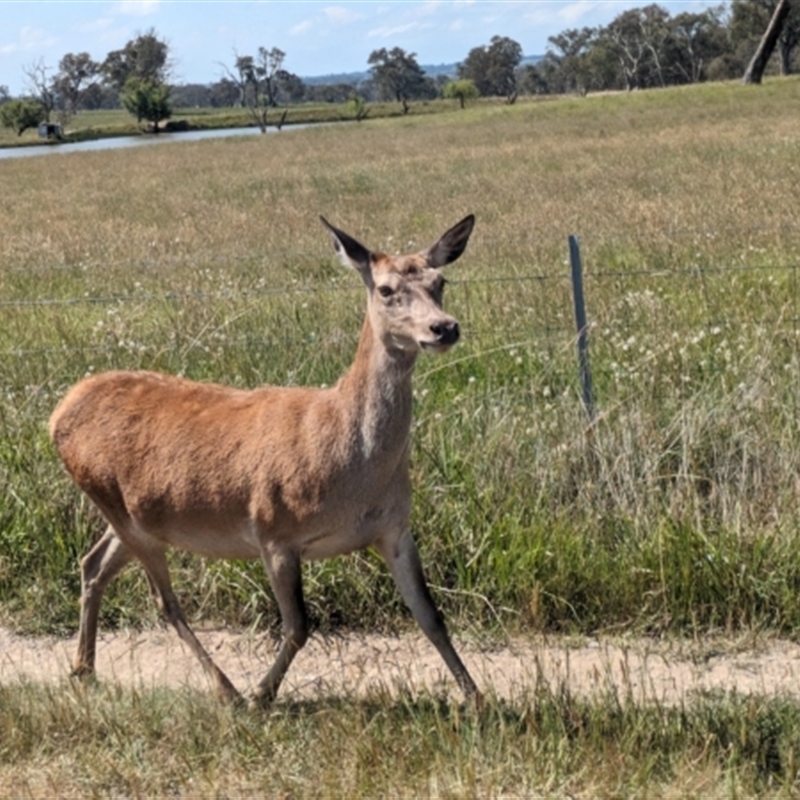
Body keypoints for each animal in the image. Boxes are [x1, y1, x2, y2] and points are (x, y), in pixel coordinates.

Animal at [50, 212, 482, 708]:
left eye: (439, 281)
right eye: (387, 289)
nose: (444, 328)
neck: (353, 474)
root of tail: (58, 413)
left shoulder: (395, 528)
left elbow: (432, 617)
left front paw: (477, 698)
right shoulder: (275, 530)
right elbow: (298, 626)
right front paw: (263, 693)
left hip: (131, 516)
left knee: (93, 564)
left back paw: (83, 669)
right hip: (116, 504)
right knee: (166, 602)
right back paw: (227, 689)